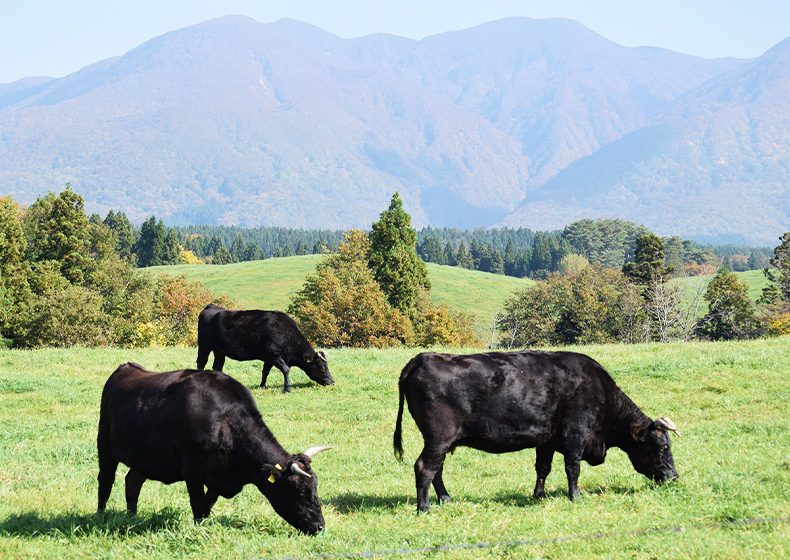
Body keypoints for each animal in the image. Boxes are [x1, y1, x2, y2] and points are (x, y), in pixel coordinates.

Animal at [100, 364, 334, 532]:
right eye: (301, 491)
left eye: (315, 488)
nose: (320, 526)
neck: (225, 421)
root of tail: (127, 367)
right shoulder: (193, 470)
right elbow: (197, 502)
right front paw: (197, 531)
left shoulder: (220, 476)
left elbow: (208, 504)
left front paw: (203, 524)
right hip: (105, 444)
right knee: (105, 481)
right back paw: (101, 516)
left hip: (145, 457)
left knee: (132, 482)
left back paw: (132, 517)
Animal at [200, 304, 336, 392]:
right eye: (323, 367)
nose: (332, 382)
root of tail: (211, 306)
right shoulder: (274, 354)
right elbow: (286, 369)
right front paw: (287, 388)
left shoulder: (269, 358)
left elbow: (265, 371)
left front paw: (262, 386)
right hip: (204, 346)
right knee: (201, 362)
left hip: (219, 351)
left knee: (217, 366)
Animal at [396, 350, 680, 512]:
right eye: (663, 447)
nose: (675, 478)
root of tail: (422, 358)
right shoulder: (576, 433)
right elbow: (573, 468)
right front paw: (575, 496)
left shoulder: (546, 439)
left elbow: (543, 468)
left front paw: (539, 495)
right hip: (439, 437)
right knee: (425, 467)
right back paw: (424, 507)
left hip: (443, 441)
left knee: (437, 469)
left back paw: (446, 499)